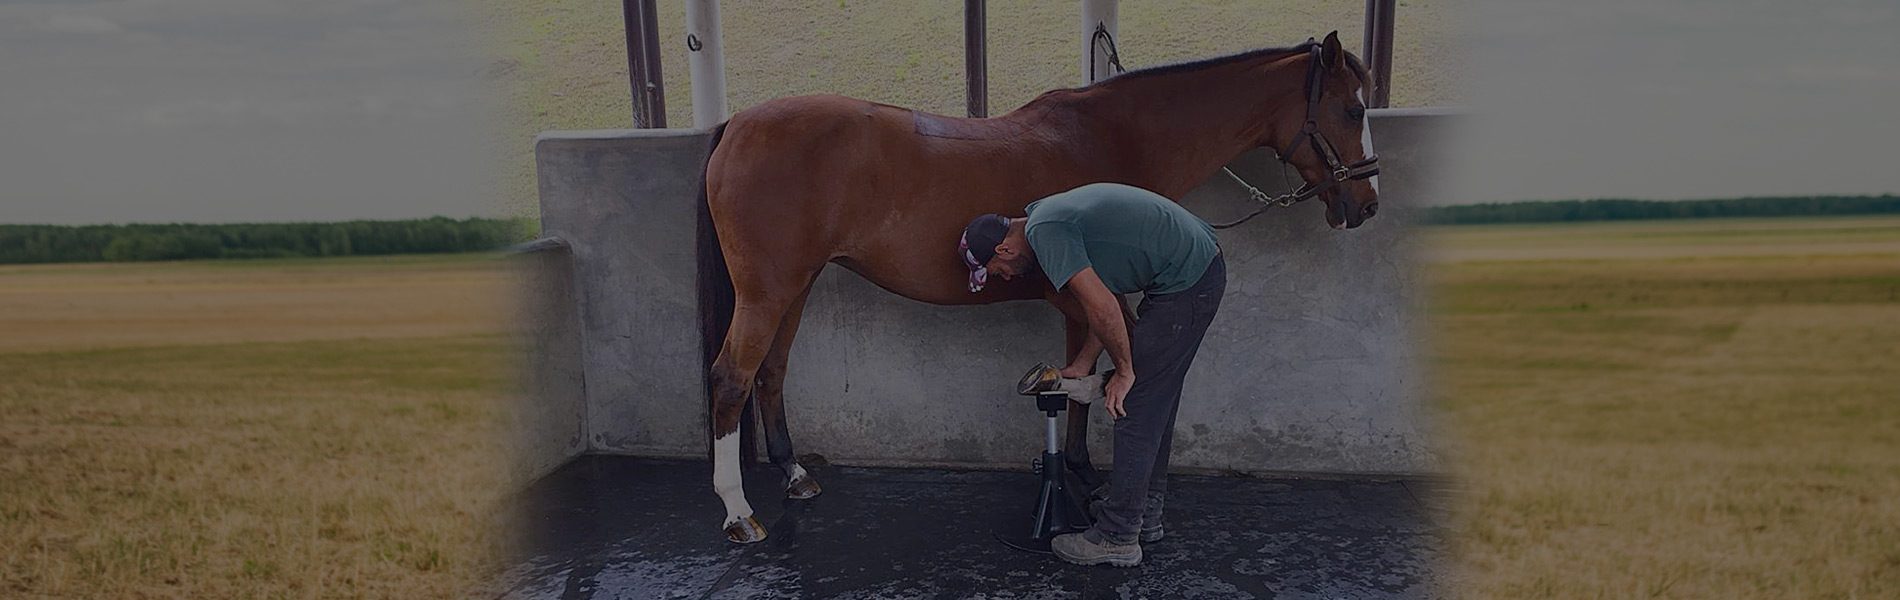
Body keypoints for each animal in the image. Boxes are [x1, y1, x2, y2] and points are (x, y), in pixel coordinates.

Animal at [699, 30, 1383, 543]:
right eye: (1353, 110)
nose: (1367, 204)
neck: (1116, 135)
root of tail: (737, 124)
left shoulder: (1078, 305)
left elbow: (1080, 382)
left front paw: (1075, 467)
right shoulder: (1094, 297)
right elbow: (1118, 375)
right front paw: (1092, 475)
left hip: (796, 285)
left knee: (771, 373)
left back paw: (794, 475)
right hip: (767, 291)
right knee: (732, 378)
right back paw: (738, 513)